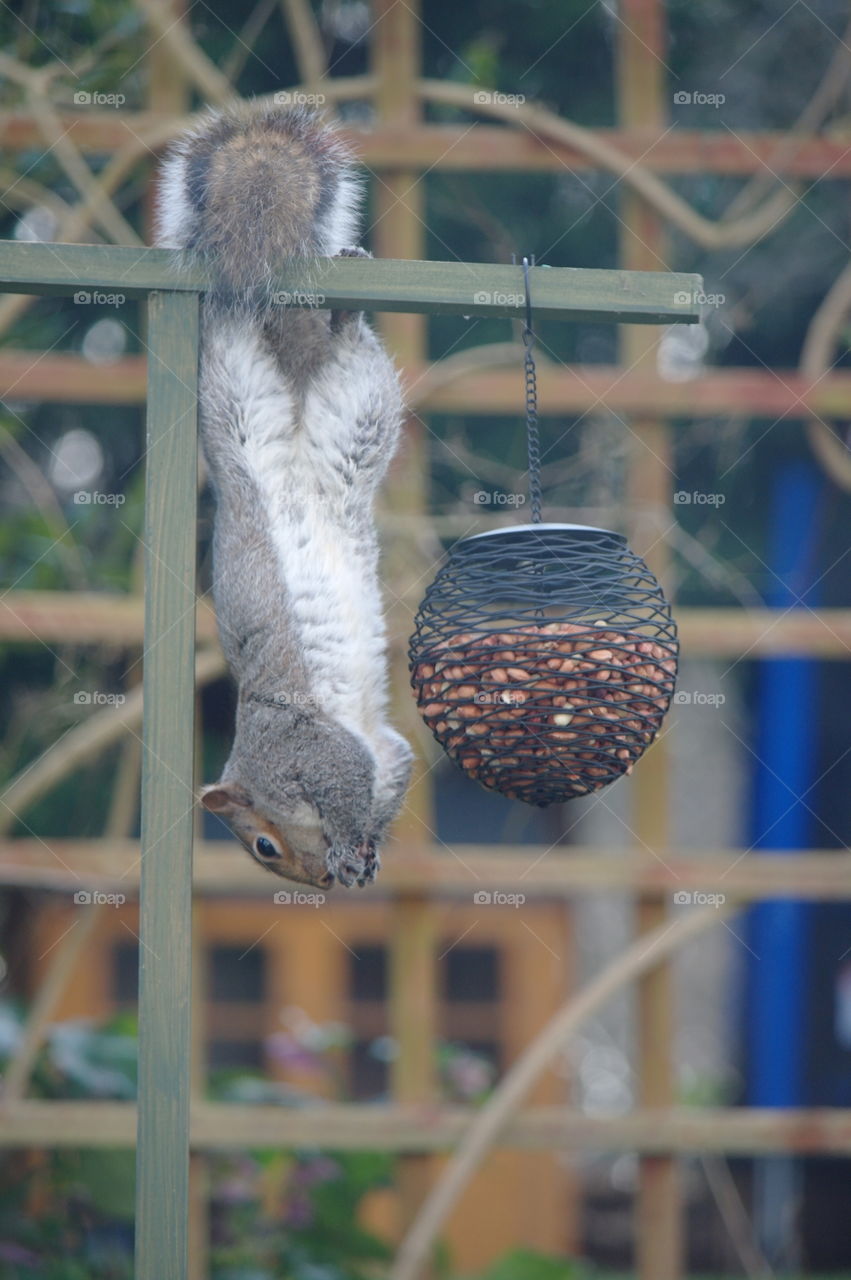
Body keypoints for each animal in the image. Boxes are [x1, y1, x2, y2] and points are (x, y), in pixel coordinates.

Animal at [155, 103, 413, 889]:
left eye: (263, 847)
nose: (319, 884)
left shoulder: (305, 744)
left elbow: (343, 782)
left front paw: (348, 846)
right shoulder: (377, 753)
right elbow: (387, 776)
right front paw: (364, 854)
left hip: (228, 383)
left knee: (230, 324)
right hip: (356, 410)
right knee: (345, 350)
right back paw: (344, 316)